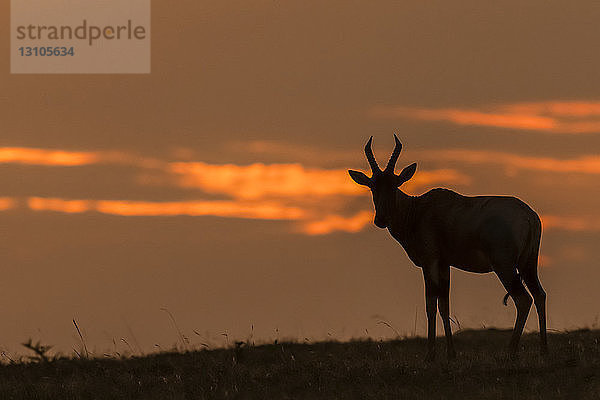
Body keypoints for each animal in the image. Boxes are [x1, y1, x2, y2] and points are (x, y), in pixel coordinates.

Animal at [346, 135, 548, 360]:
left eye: (395, 185)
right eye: (373, 186)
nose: (380, 220)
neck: (418, 210)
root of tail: (529, 216)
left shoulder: (429, 262)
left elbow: (431, 305)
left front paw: (430, 355)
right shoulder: (444, 264)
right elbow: (444, 305)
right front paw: (451, 354)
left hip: (504, 266)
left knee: (523, 300)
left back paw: (510, 352)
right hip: (528, 264)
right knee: (539, 295)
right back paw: (543, 351)